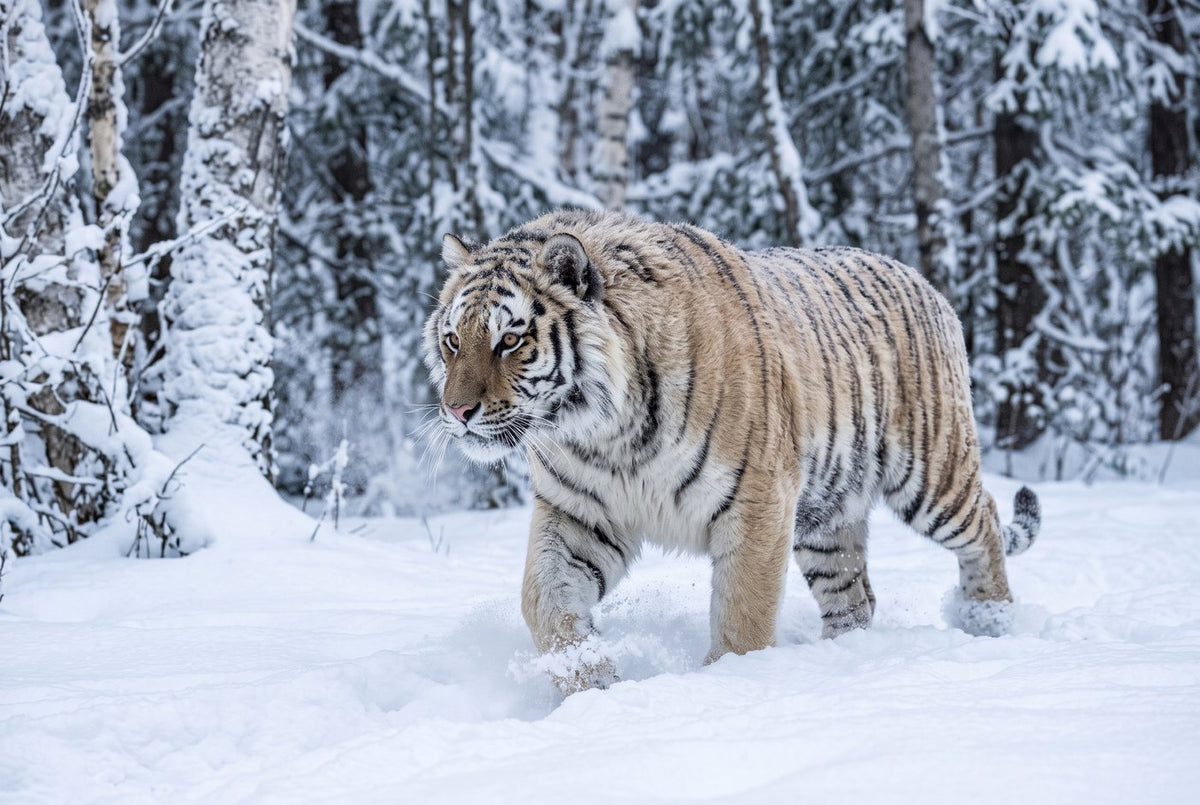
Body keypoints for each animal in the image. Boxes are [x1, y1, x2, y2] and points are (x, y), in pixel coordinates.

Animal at [423, 209, 1040, 693]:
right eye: (453, 340)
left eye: (510, 340)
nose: (457, 411)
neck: (604, 433)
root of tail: (924, 281)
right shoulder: (582, 513)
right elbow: (544, 599)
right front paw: (590, 679)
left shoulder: (758, 502)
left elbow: (744, 613)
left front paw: (729, 685)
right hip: (826, 518)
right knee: (854, 595)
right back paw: (843, 658)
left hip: (931, 473)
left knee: (986, 522)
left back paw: (989, 621)